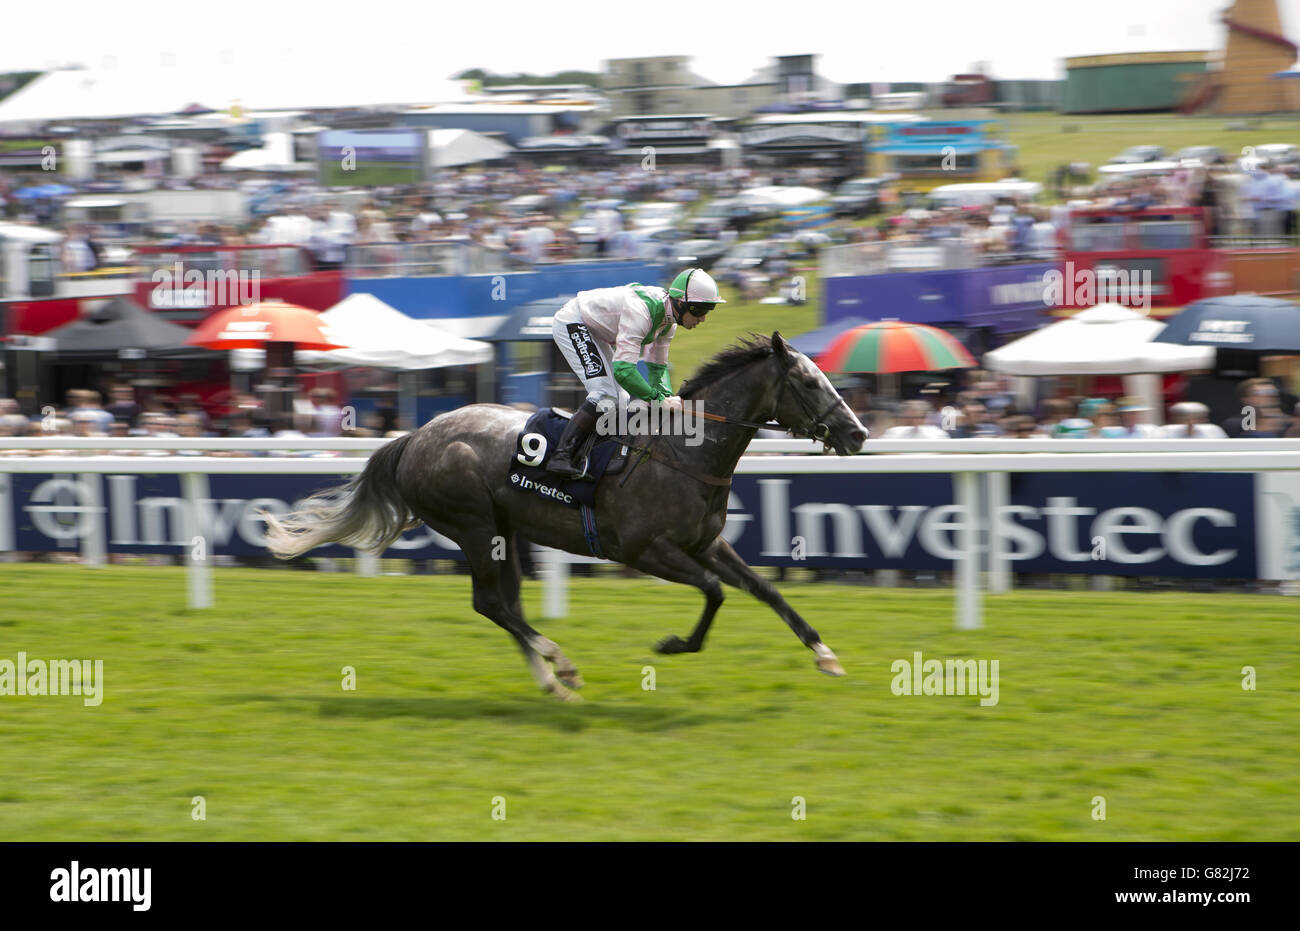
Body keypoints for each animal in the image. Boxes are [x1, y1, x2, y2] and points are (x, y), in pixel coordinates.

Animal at [261, 331, 863, 702]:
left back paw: (552, 682)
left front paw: (826, 655)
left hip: (504, 532)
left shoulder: (705, 544)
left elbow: (767, 590)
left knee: (505, 605)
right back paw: (562, 665)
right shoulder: (645, 550)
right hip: (474, 525)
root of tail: (414, 436)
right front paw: (674, 644)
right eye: (811, 383)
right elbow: (714, 592)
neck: (685, 452)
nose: (858, 433)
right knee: (490, 603)